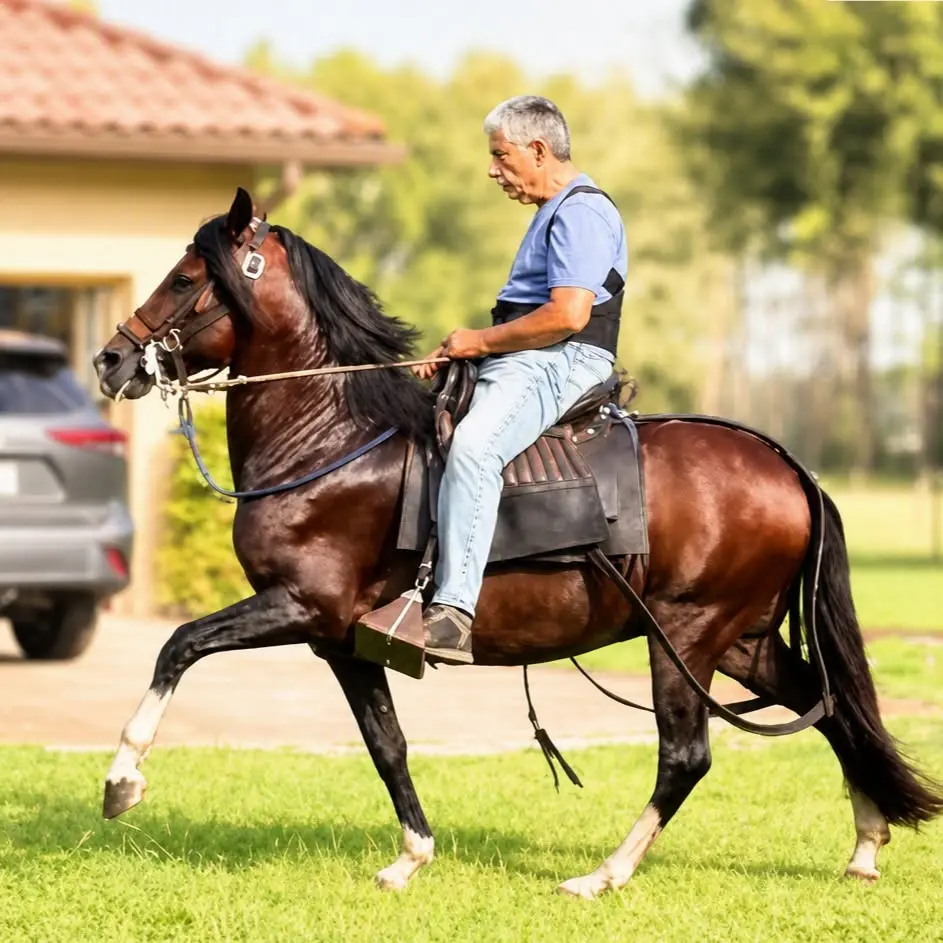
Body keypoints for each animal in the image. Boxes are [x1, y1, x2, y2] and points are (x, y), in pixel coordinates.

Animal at [92, 187, 942, 898]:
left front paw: (122, 778)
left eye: (185, 276)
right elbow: (386, 743)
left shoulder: (301, 606)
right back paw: (864, 844)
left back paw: (604, 874)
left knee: (688, 755)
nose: (110, 358)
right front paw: (412, 855)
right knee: (830, 708)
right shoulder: (343, 639)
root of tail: (786, 464)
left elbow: (177, 645)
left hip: (685, 637)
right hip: (742, 641)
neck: (337, 439)